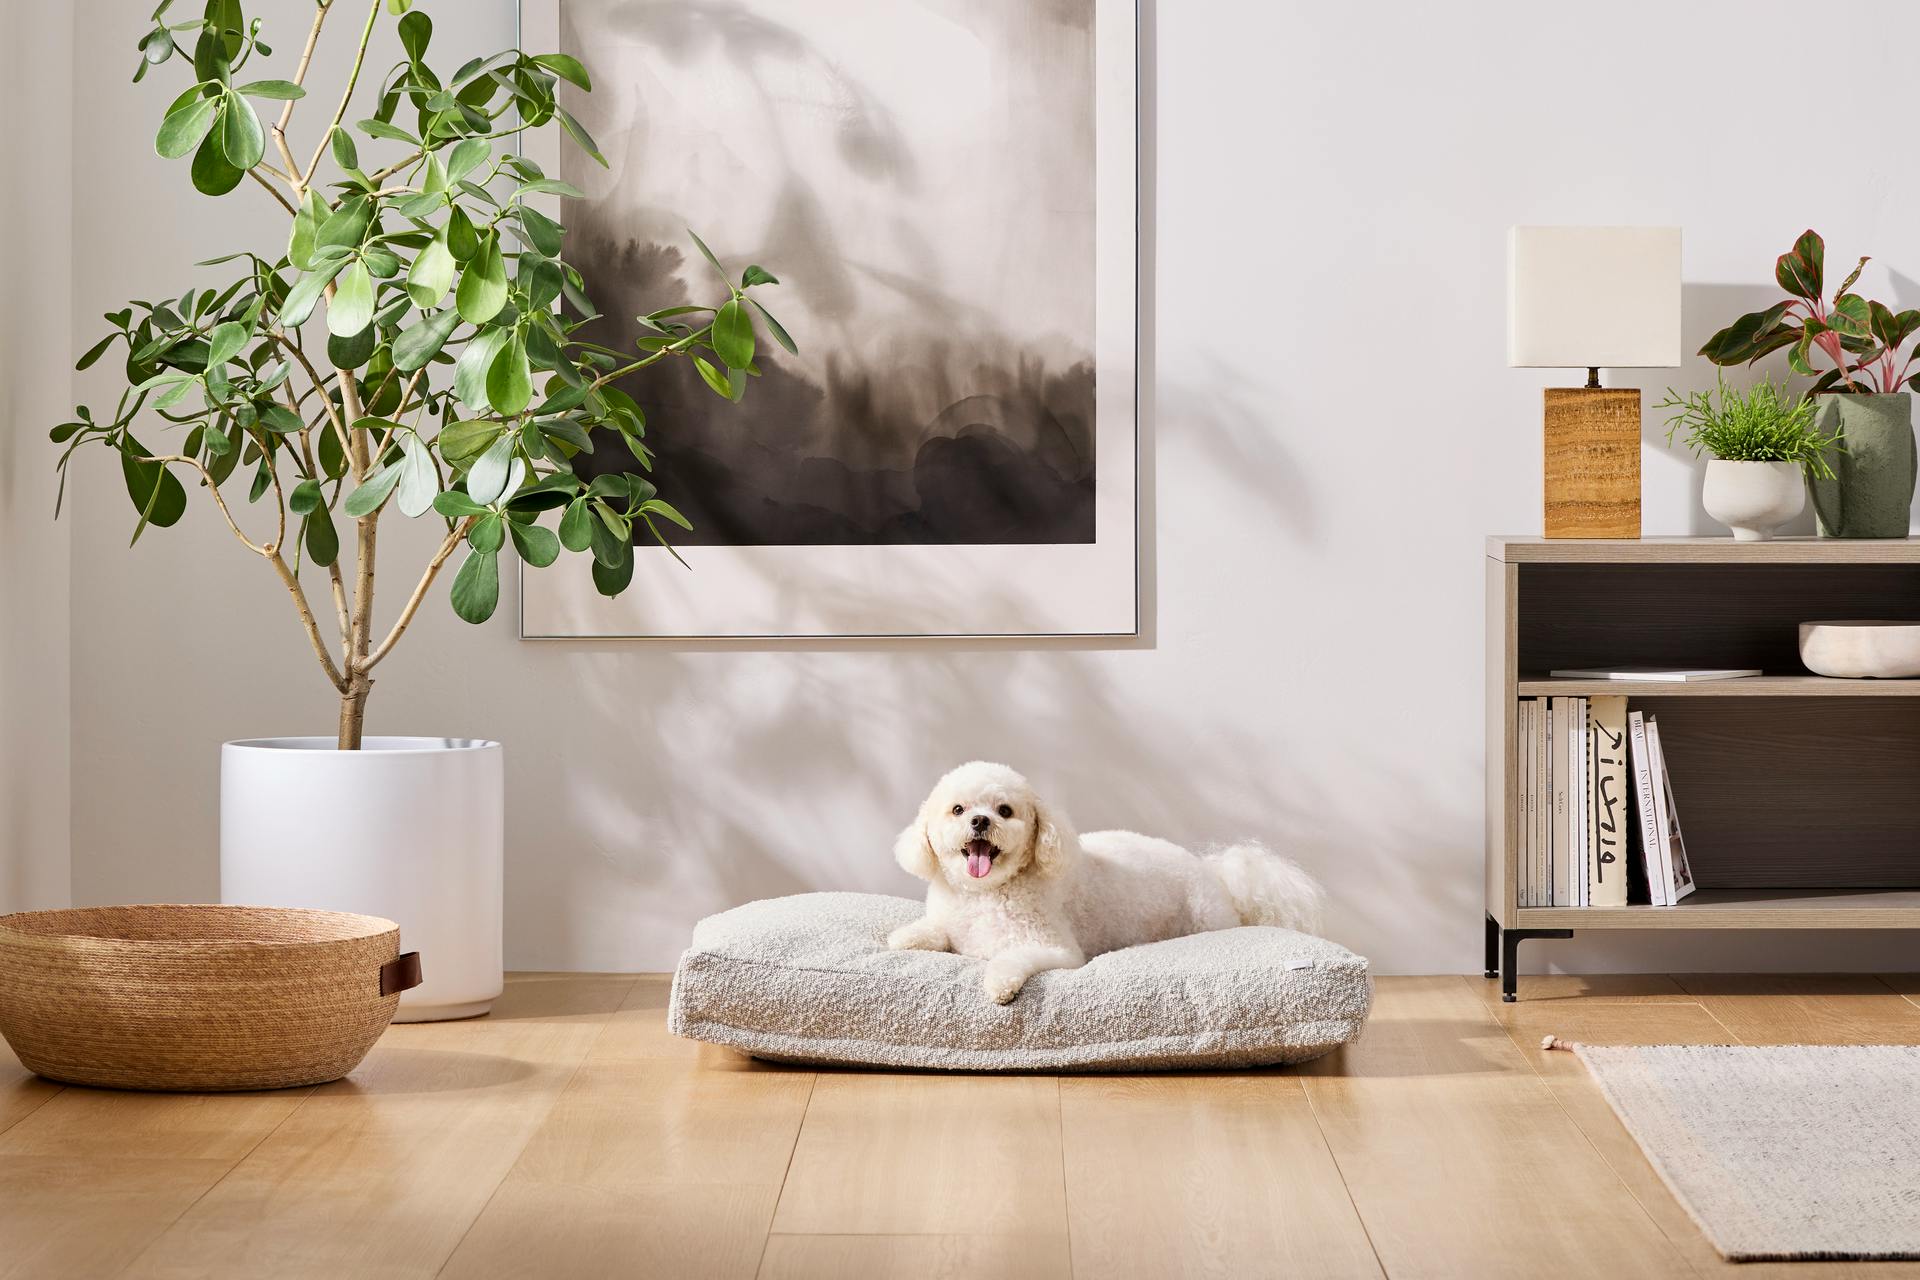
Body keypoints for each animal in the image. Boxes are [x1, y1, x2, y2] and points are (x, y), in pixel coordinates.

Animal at [883, 759, 1320, 997]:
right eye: (957, 809)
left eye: (1005, 810)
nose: (979, 821)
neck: (987, 893)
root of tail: (1213, 871)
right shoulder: (953, 924)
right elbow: (934, 930)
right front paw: (905, 936)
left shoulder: (1056, 949)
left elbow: (1011, 958)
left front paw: (999, 984)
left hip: (1206, 919)